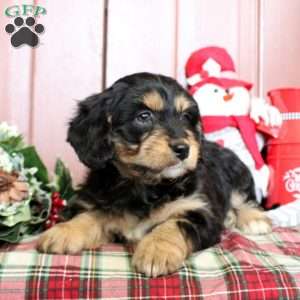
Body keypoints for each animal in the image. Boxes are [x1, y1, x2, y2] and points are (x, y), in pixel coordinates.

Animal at [37, 72, 272, 276]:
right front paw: (63, 231)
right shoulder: (102, 201)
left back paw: (253, 219)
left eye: (186, 116)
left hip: (239, 176)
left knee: (244, 199)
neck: (147, 185)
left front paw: (157, 251)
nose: (184, 149)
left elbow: (174, 224)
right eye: (144, 116)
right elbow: (90, 215)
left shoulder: (200, 211)